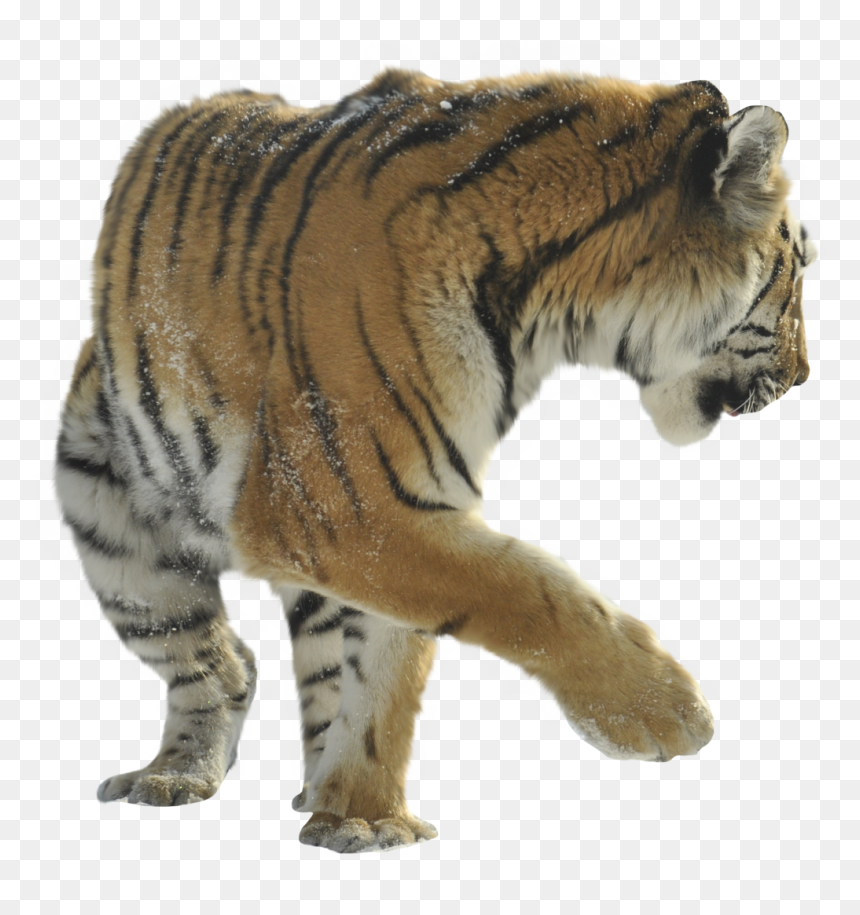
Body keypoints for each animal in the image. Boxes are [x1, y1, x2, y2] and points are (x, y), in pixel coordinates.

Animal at [56, 70, 816, 853]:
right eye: (800, 269)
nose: (804, 377)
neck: (553, 312)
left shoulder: (410, 499)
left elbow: (388, 671)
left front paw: (363, 816)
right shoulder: (342, 504)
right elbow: (522, 590)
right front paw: (663, 710)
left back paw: (313, 790)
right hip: (119, 541)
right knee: (219, 664)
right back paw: (172, 777)